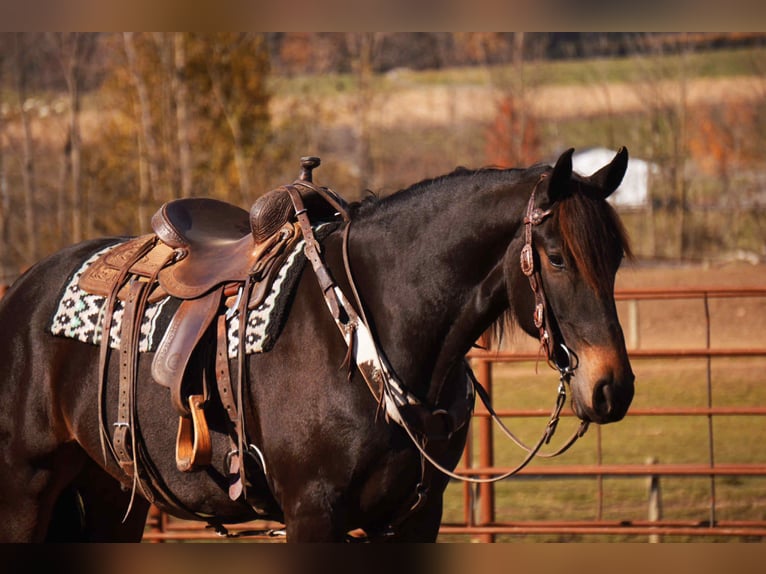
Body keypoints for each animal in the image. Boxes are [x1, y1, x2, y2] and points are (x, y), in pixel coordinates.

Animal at [0, 147, 634, 542]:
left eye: (615, 259)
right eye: (557, 258)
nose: (613, 388)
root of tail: (22, 290)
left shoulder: (415, 518)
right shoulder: (312, 514)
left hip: (110, 494)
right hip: (26, 489)